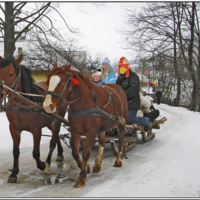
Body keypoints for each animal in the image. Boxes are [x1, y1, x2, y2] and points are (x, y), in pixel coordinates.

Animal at [0, 55, 67, 184]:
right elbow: (15, 151)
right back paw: (60, 153)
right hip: (50, 120)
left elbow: (35, 153)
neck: (23, 103)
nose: (0, 92)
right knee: (55, 134)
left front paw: (42, 165)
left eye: (11, 74)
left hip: (59, 116)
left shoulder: (36, 130)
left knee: (55, 135)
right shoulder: (14, 128)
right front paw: (14, 173)